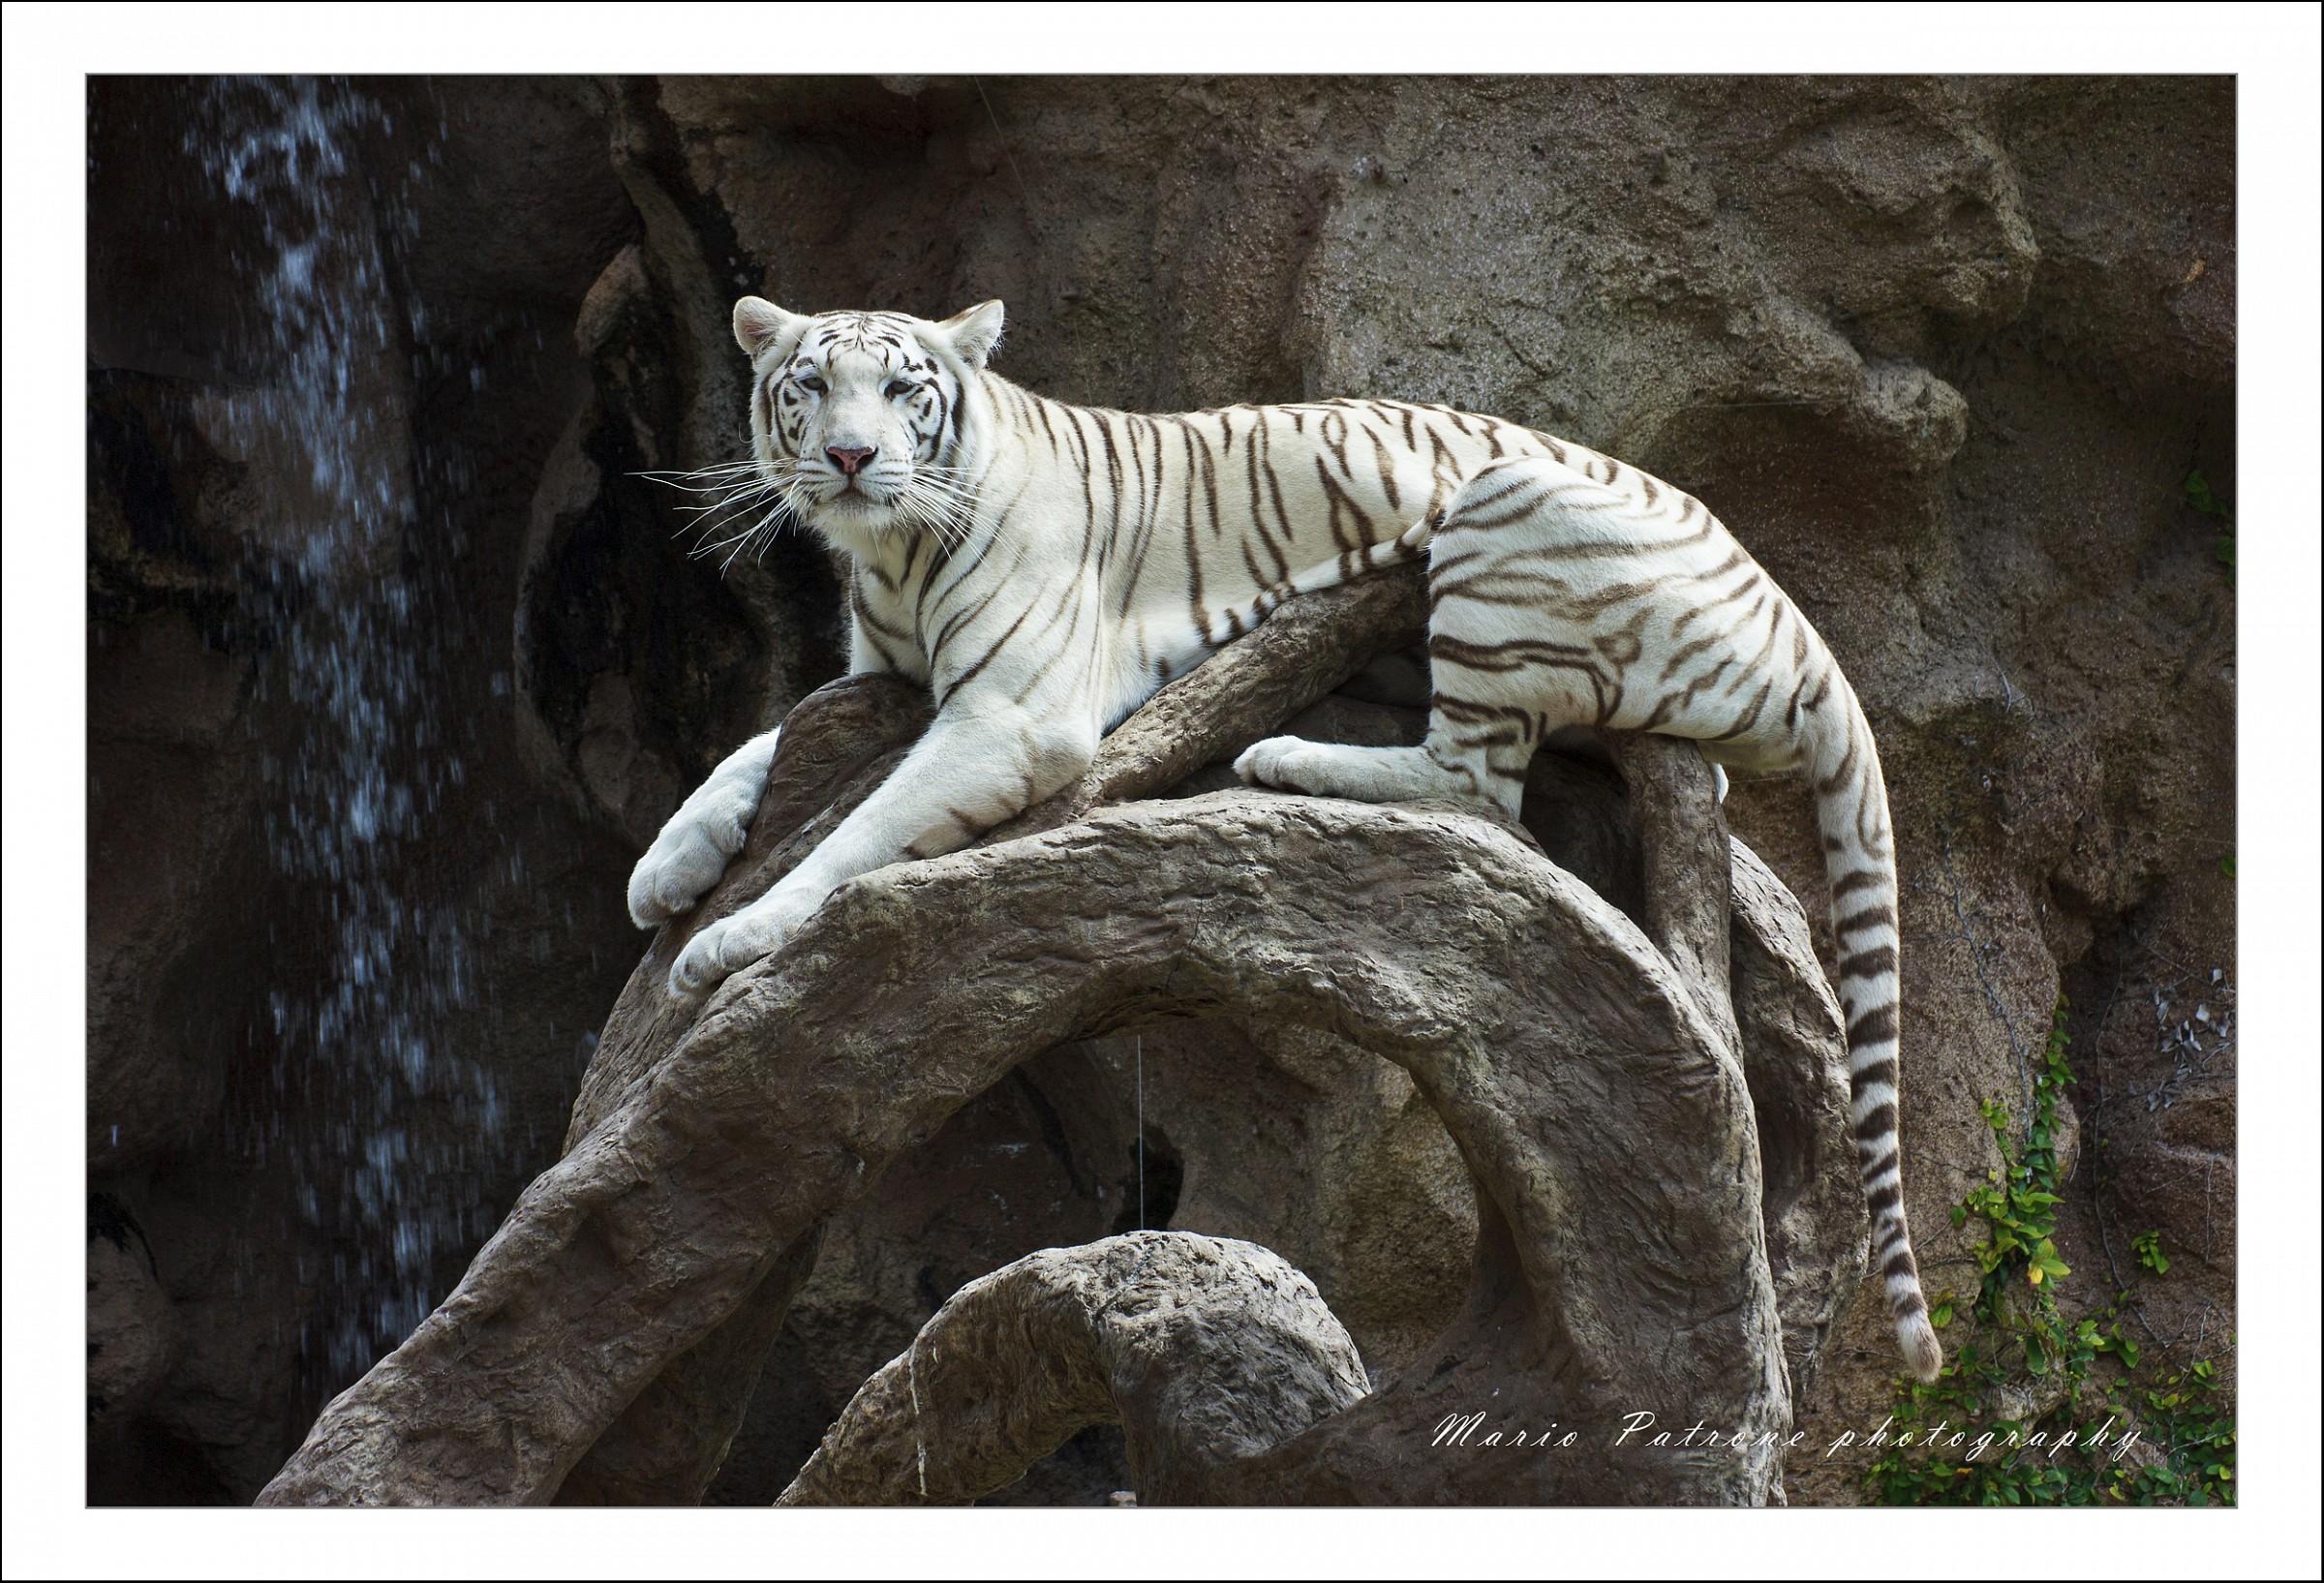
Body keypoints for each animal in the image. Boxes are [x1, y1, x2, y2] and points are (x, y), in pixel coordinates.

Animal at [625, 295, 1943, 1383]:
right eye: (810, 385)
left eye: (903, 392)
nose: (852, 458)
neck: (891, 557)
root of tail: (1800, 625)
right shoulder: (876, 682)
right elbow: (756, 745)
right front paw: (663, 870)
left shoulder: (1012, 717)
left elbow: (861, 827)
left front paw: (733, 935)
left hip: (1504, 513)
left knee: (1480, 785)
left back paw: (1286, 758)